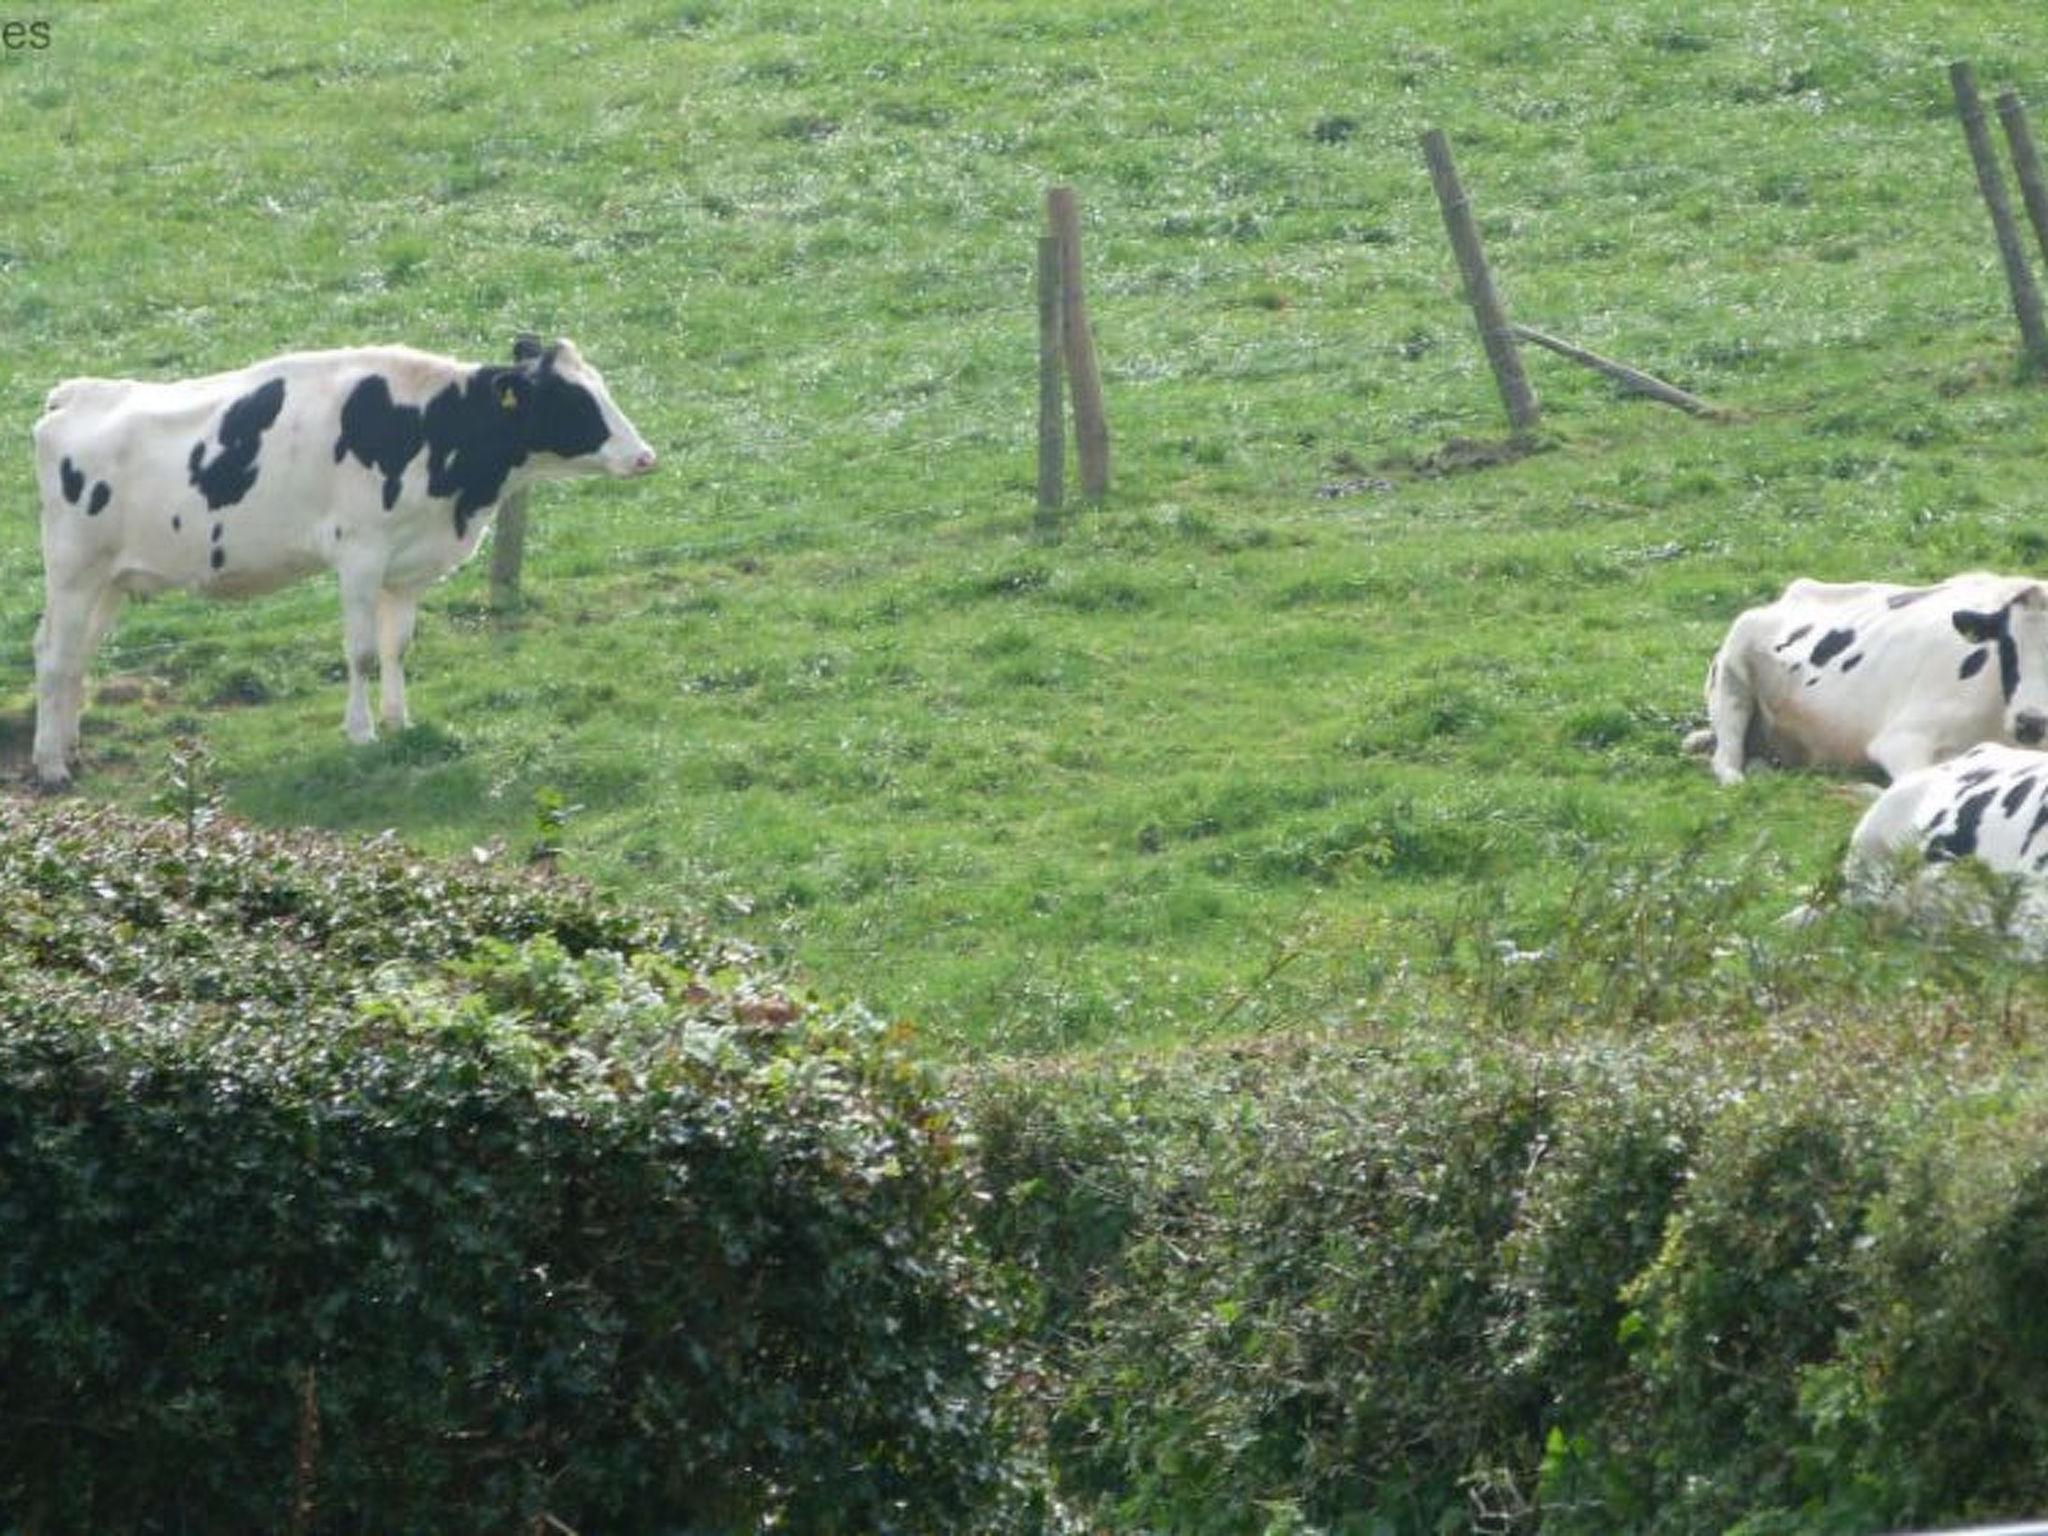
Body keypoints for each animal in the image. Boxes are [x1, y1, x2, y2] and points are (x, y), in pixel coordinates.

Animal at [32, 331, 655, 786]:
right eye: (573, 399)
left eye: (599, 386)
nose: (644, 456)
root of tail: (75, 393)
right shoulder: (360, 554)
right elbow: (360, 653)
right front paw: (361, 733)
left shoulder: (406, 569)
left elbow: (398, 647)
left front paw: (400, 721)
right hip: (72, 571)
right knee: (53, 656)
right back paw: (51, 765)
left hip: (111, 580)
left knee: (75, 658)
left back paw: (71, 747)